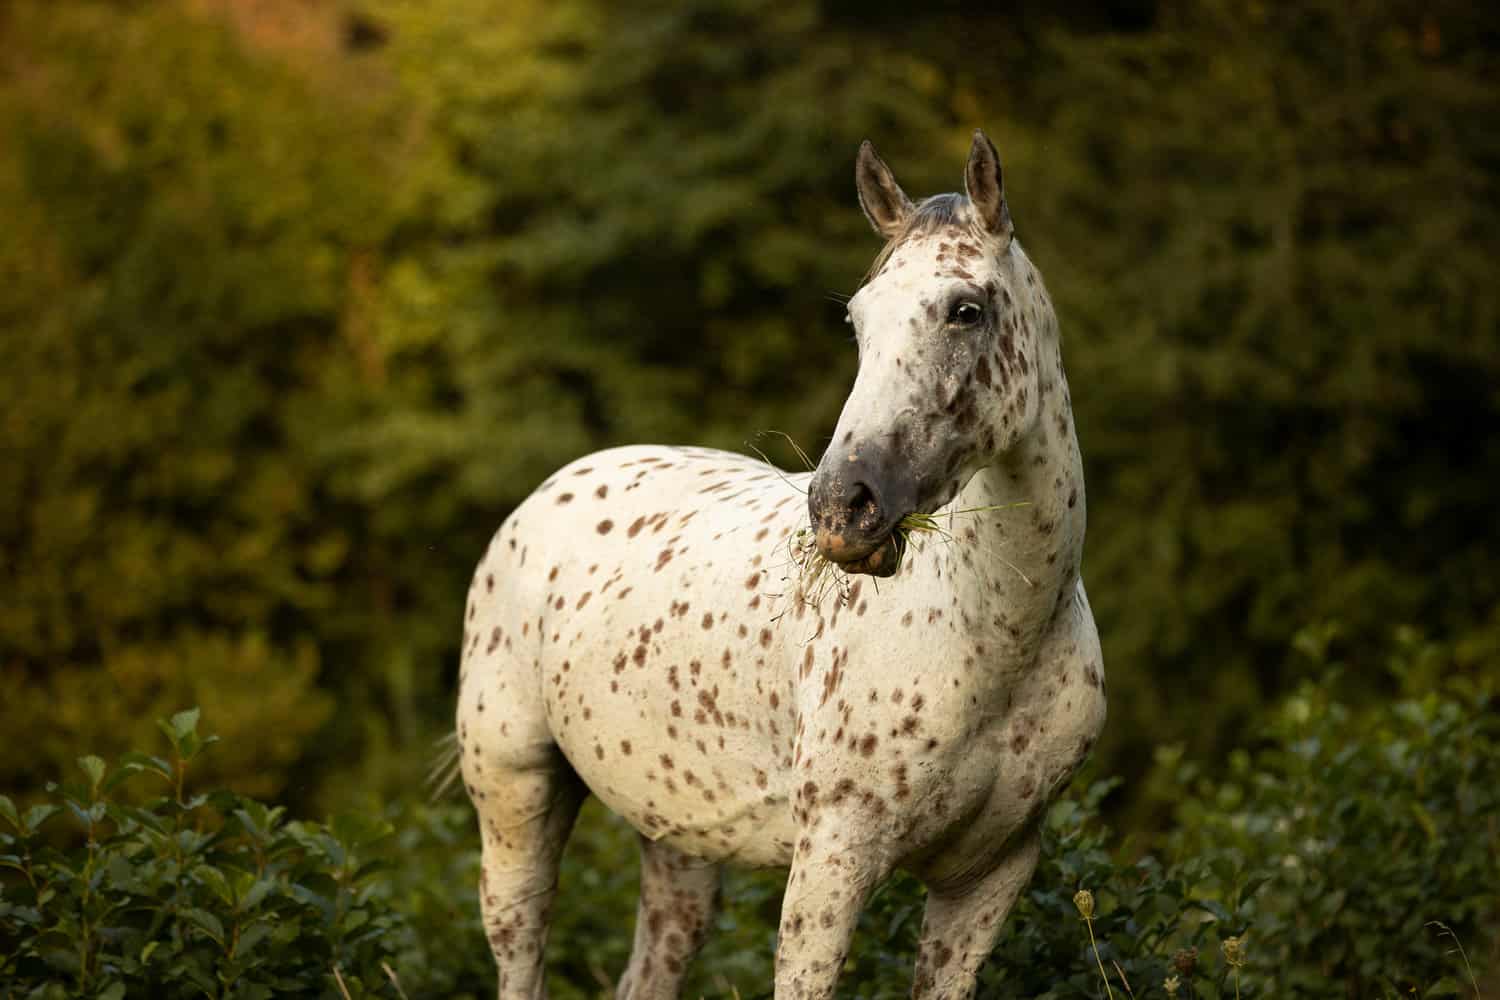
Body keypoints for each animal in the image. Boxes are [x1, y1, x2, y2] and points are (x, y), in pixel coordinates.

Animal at [456, 132, 1104, 1000]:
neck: (995, 636)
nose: (842, 508)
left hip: (678, 841)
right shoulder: (833, 859)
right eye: (858, 321)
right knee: (520, 943)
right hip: (516, 798)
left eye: (966, 309)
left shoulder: (987, 881)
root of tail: (547, 493)